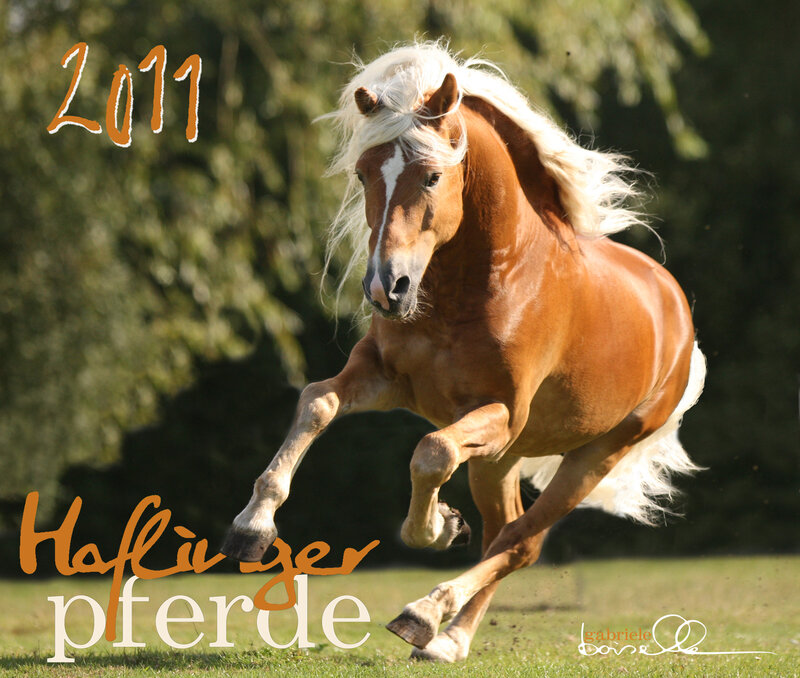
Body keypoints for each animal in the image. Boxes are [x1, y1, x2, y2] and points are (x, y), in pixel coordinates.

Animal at [221, 42, 705, 663]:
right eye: (362, 173)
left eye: (431, 176)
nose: (386, 289)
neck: (477, 286)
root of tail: (677, 312)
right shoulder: (384, 378)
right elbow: (316, 404)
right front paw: (251, 527)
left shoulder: (499, 414)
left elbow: (430, 453)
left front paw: (435, 529)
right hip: (502, 460)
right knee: (503, 532)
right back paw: (448, 638)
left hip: (593, 455)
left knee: (521, 543)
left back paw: (427, 618)